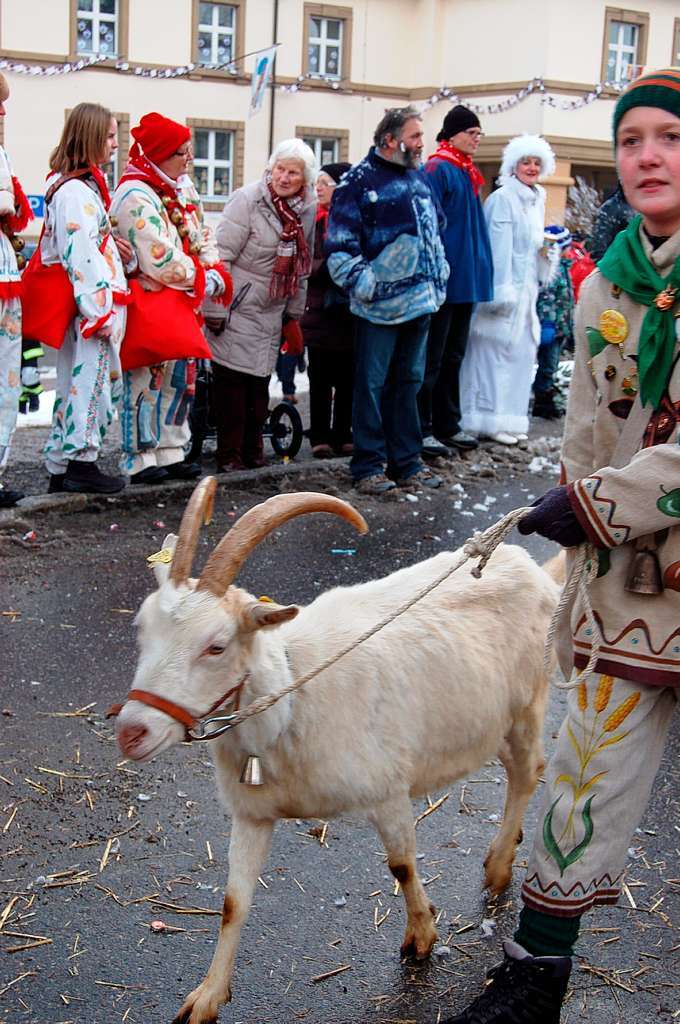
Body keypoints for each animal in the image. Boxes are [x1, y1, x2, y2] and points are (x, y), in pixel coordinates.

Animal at [115, 479, 561, 1024]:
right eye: (141, 628)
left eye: (216, 646)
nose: (131, 731)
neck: (292, 699)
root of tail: (528, 565)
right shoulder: (252, 813)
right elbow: (232, 903)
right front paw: (206, 996)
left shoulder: (388, 790)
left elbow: (402, 866)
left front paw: (422, 936)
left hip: (528, 705)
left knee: (527, 772)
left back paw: (498, 867)